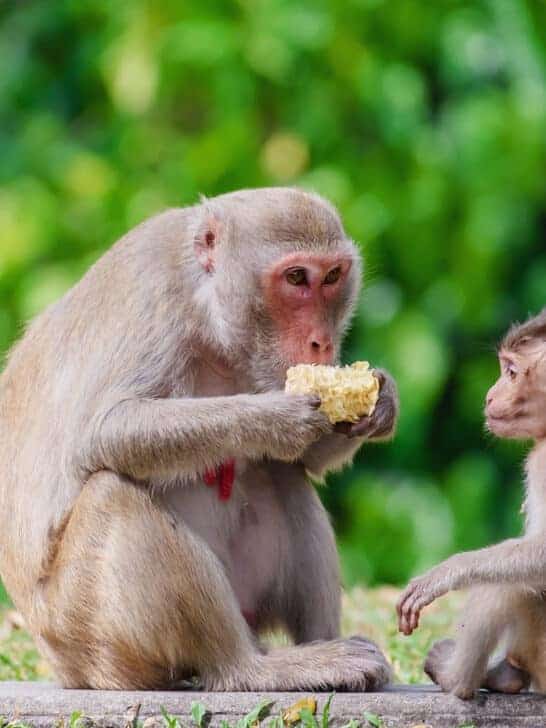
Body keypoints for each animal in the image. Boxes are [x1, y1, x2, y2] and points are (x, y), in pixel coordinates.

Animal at [0, 187, 399, 691]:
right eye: (296, 278)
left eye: (331, 276)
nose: (322, 344)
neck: (210, 315)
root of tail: (64, 668)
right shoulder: (153, 296)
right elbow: (105, 430)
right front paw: (275, 418)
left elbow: (302, 462)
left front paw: (380, 400)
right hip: (86, 635)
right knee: (113, 494)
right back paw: (254, 669)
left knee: (280, 475)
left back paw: (327, 649)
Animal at [396, 307, 546, 699]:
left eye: (511, 373)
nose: (489, 396)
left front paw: (448, 571)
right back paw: (506, 675)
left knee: (505, 582)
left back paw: (458, 679)